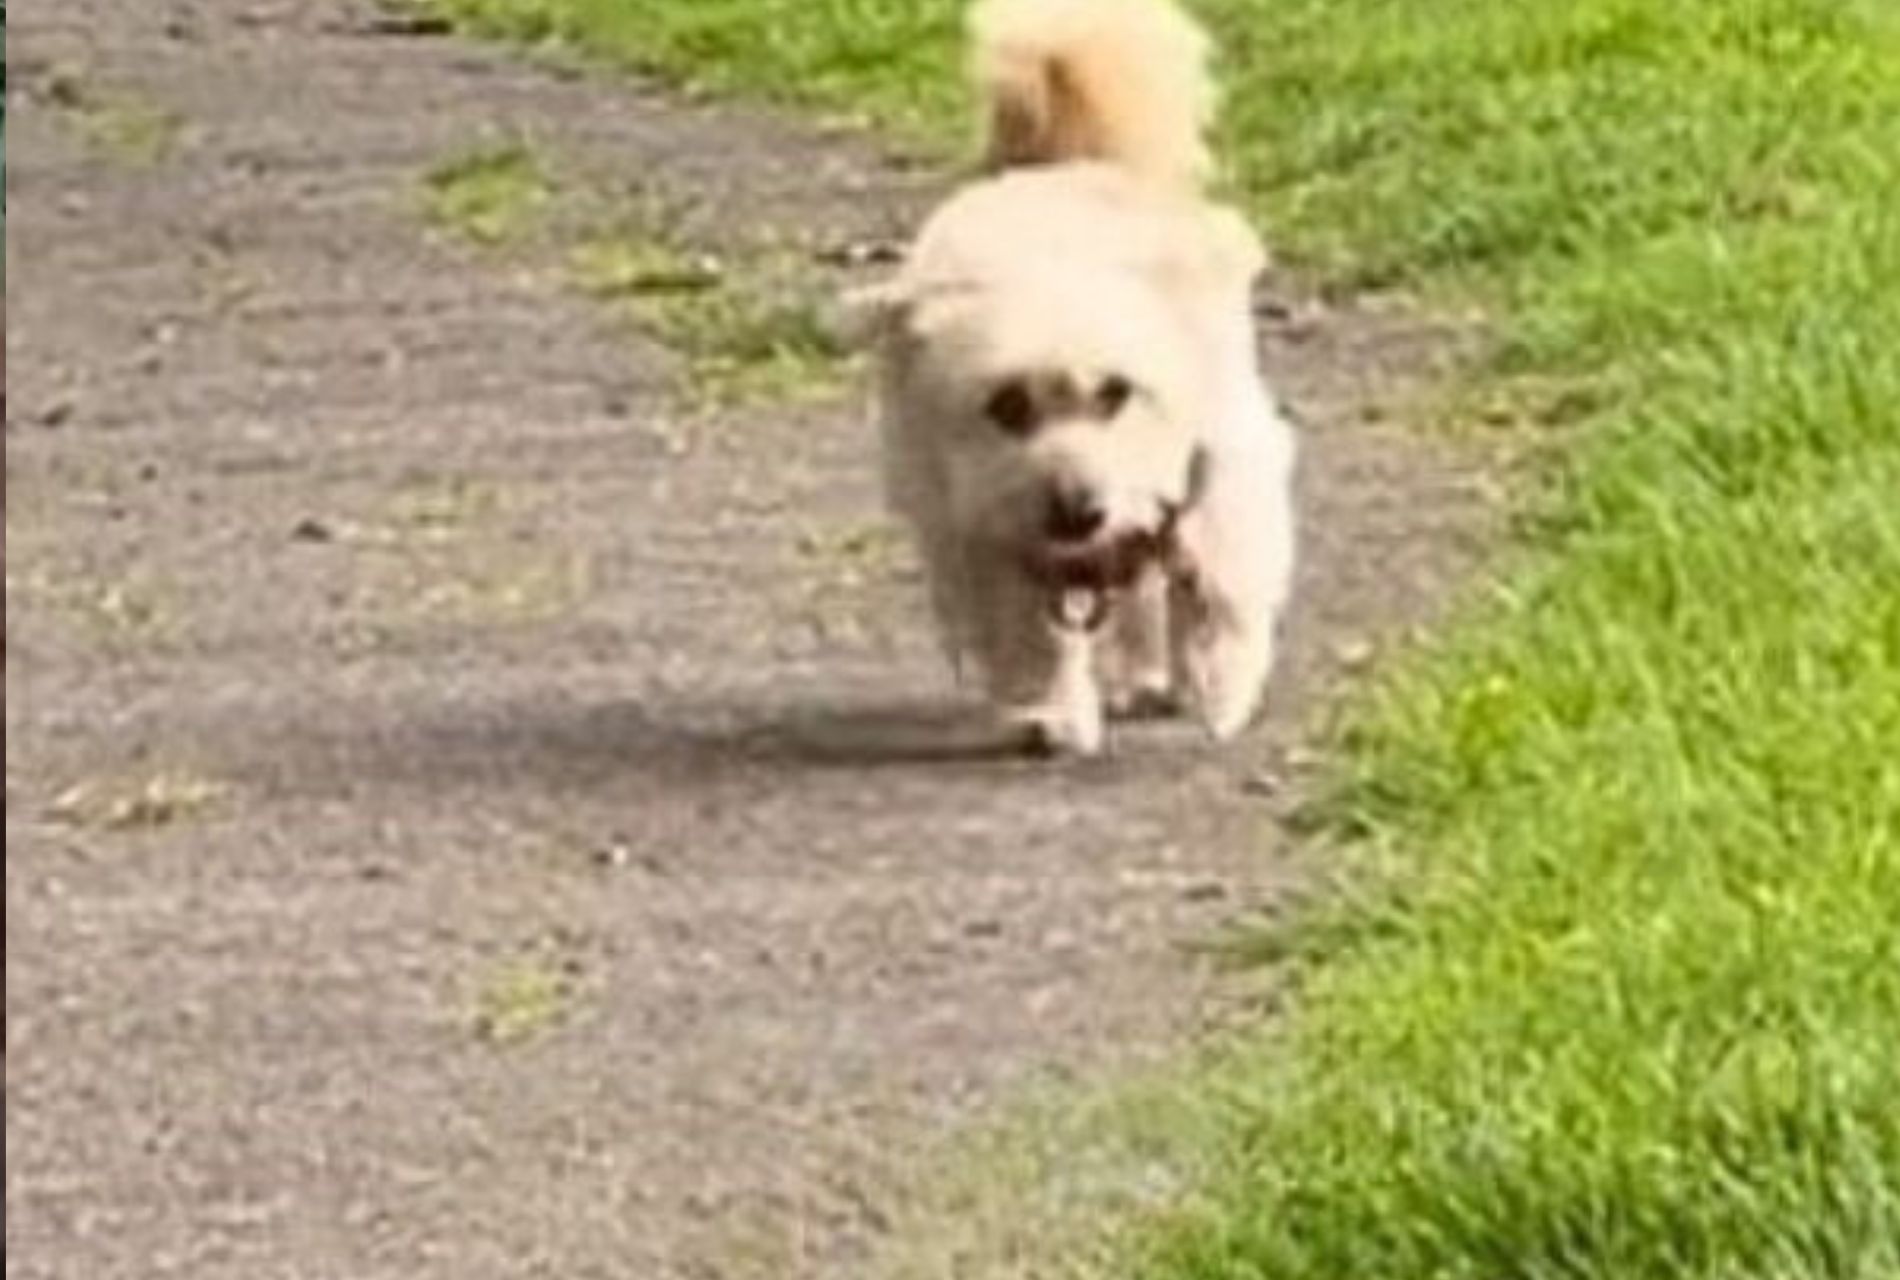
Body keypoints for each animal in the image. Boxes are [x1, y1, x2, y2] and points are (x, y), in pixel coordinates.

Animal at [855, 0, 1299, 752]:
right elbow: (1023, 621)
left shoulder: (1226, 452)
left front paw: (1219, 679)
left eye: (1117, 391)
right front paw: (1046, 710)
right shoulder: (974, 521)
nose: (1078, 509)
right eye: (1006, 404)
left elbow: (1218, 568)